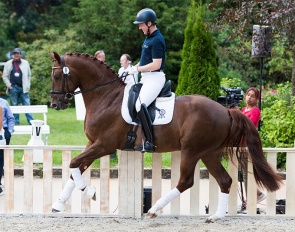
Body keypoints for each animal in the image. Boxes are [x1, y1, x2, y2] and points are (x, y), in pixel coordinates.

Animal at [50, 51, 282, 222]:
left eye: (56, 76)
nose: (54, 104)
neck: (106, 97)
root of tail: (226, 110)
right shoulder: (93, 142)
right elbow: (76, 168)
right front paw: (59, 204)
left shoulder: (104, 145)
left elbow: (74, 163)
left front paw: (89, 191)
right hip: (209, 153)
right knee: (225, 180)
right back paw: (215, 216)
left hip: (192, 150)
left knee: (186, 181)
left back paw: (154, 209)